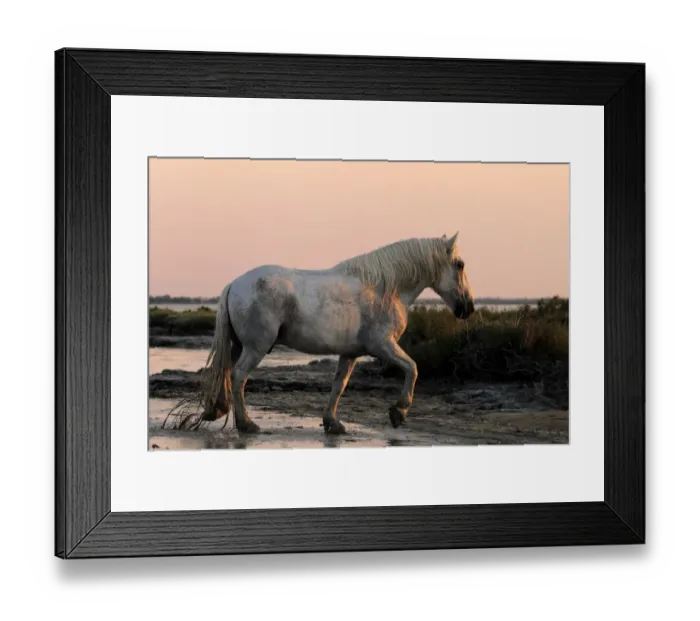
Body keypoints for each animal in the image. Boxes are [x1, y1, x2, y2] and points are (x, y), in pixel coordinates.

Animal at [180, 232, 475, 435]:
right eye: (460, 264)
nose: (469, 308)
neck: (384, 289)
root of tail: (235, 284)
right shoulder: (383, 346)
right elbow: (412, 368)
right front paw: (399, 411)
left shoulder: (350, 353)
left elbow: (338, 385)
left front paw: (332, 422)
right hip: (255, 347)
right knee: (239, 376)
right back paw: (245, 423)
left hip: (239, 345)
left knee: (225, 371)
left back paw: (217, 410)